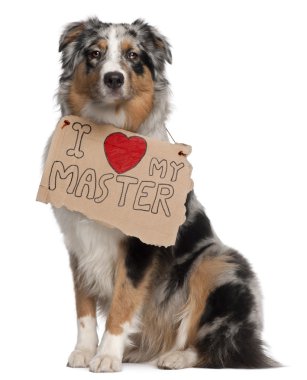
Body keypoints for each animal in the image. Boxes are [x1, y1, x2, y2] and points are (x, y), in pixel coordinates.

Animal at [45, 17, 280, 372]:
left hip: (216, 262)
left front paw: (107, 356)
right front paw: (85, 350)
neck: (108, 130)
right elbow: (83, 306)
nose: (113, 78)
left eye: (133, 56)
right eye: (95, 53)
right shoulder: (77, 240)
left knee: (219, 344)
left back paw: (176, 356)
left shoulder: (140, 246)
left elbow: (123, 300)